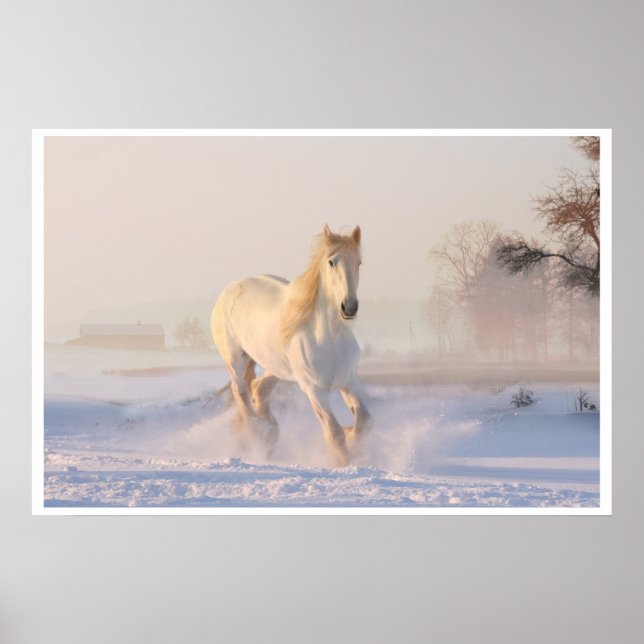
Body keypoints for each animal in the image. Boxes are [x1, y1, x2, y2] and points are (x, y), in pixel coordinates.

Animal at [210, 224, 372, 466]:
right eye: (331, 262)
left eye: (358, 263)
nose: (349, 307)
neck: (329, 339)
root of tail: (229, 290)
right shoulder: (314, 390)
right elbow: (334, 432)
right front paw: (345, 461)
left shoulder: (350, 381)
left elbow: (363, 422)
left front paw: (353, 441)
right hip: (235, 360)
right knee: (241, 391)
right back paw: (258, 432)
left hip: (277, 367)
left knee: (259, 388)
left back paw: (269, 433)